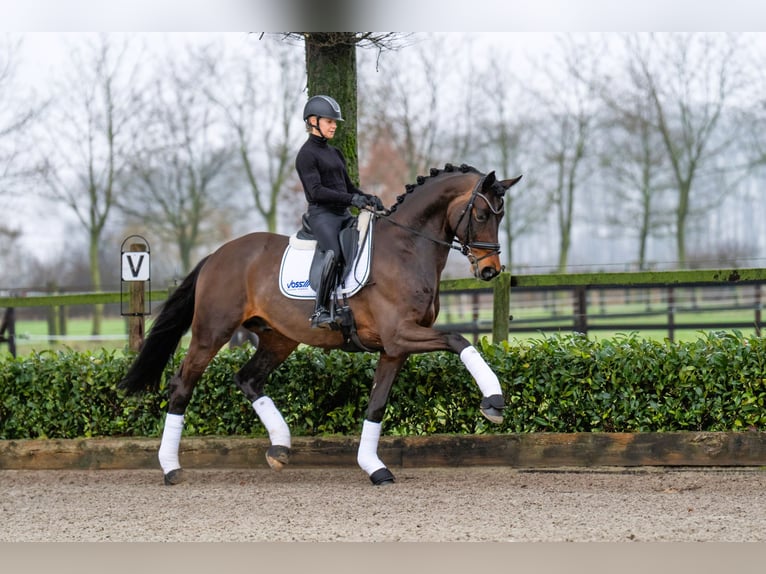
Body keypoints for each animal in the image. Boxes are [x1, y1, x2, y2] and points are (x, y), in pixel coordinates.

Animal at [120, 164, 524, 488]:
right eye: (482, 215)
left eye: (501, 216)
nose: (491, 271)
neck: (407, 248)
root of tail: (218, 255)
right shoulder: (400, 335)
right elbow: (458, 339)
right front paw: (493, 401)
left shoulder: (394, 349)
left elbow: (376, 405)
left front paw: (374, 467)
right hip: (212, 332)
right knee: (182, 385)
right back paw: (171, 468)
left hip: (278, 338)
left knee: (248, 378)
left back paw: (280, 447)